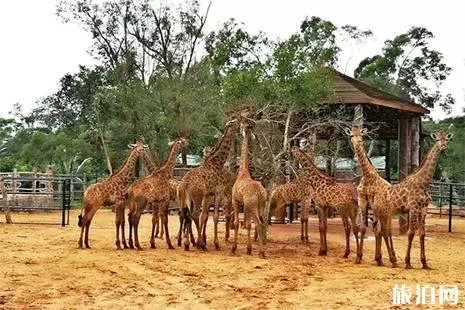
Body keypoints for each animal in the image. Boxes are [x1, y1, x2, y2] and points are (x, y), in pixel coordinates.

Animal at [178, 115, 241, 251]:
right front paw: (216, 243)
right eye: (236, 123)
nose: (240, 130)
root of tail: (184, 184)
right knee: (194, 214)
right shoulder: (218, 192)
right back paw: (199, 244)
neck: (217, 163)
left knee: (187, 215)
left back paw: (188, 243)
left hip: (186, 199)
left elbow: (205, 216)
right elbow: (215, 217)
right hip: (197, 196)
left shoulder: (208, 195)